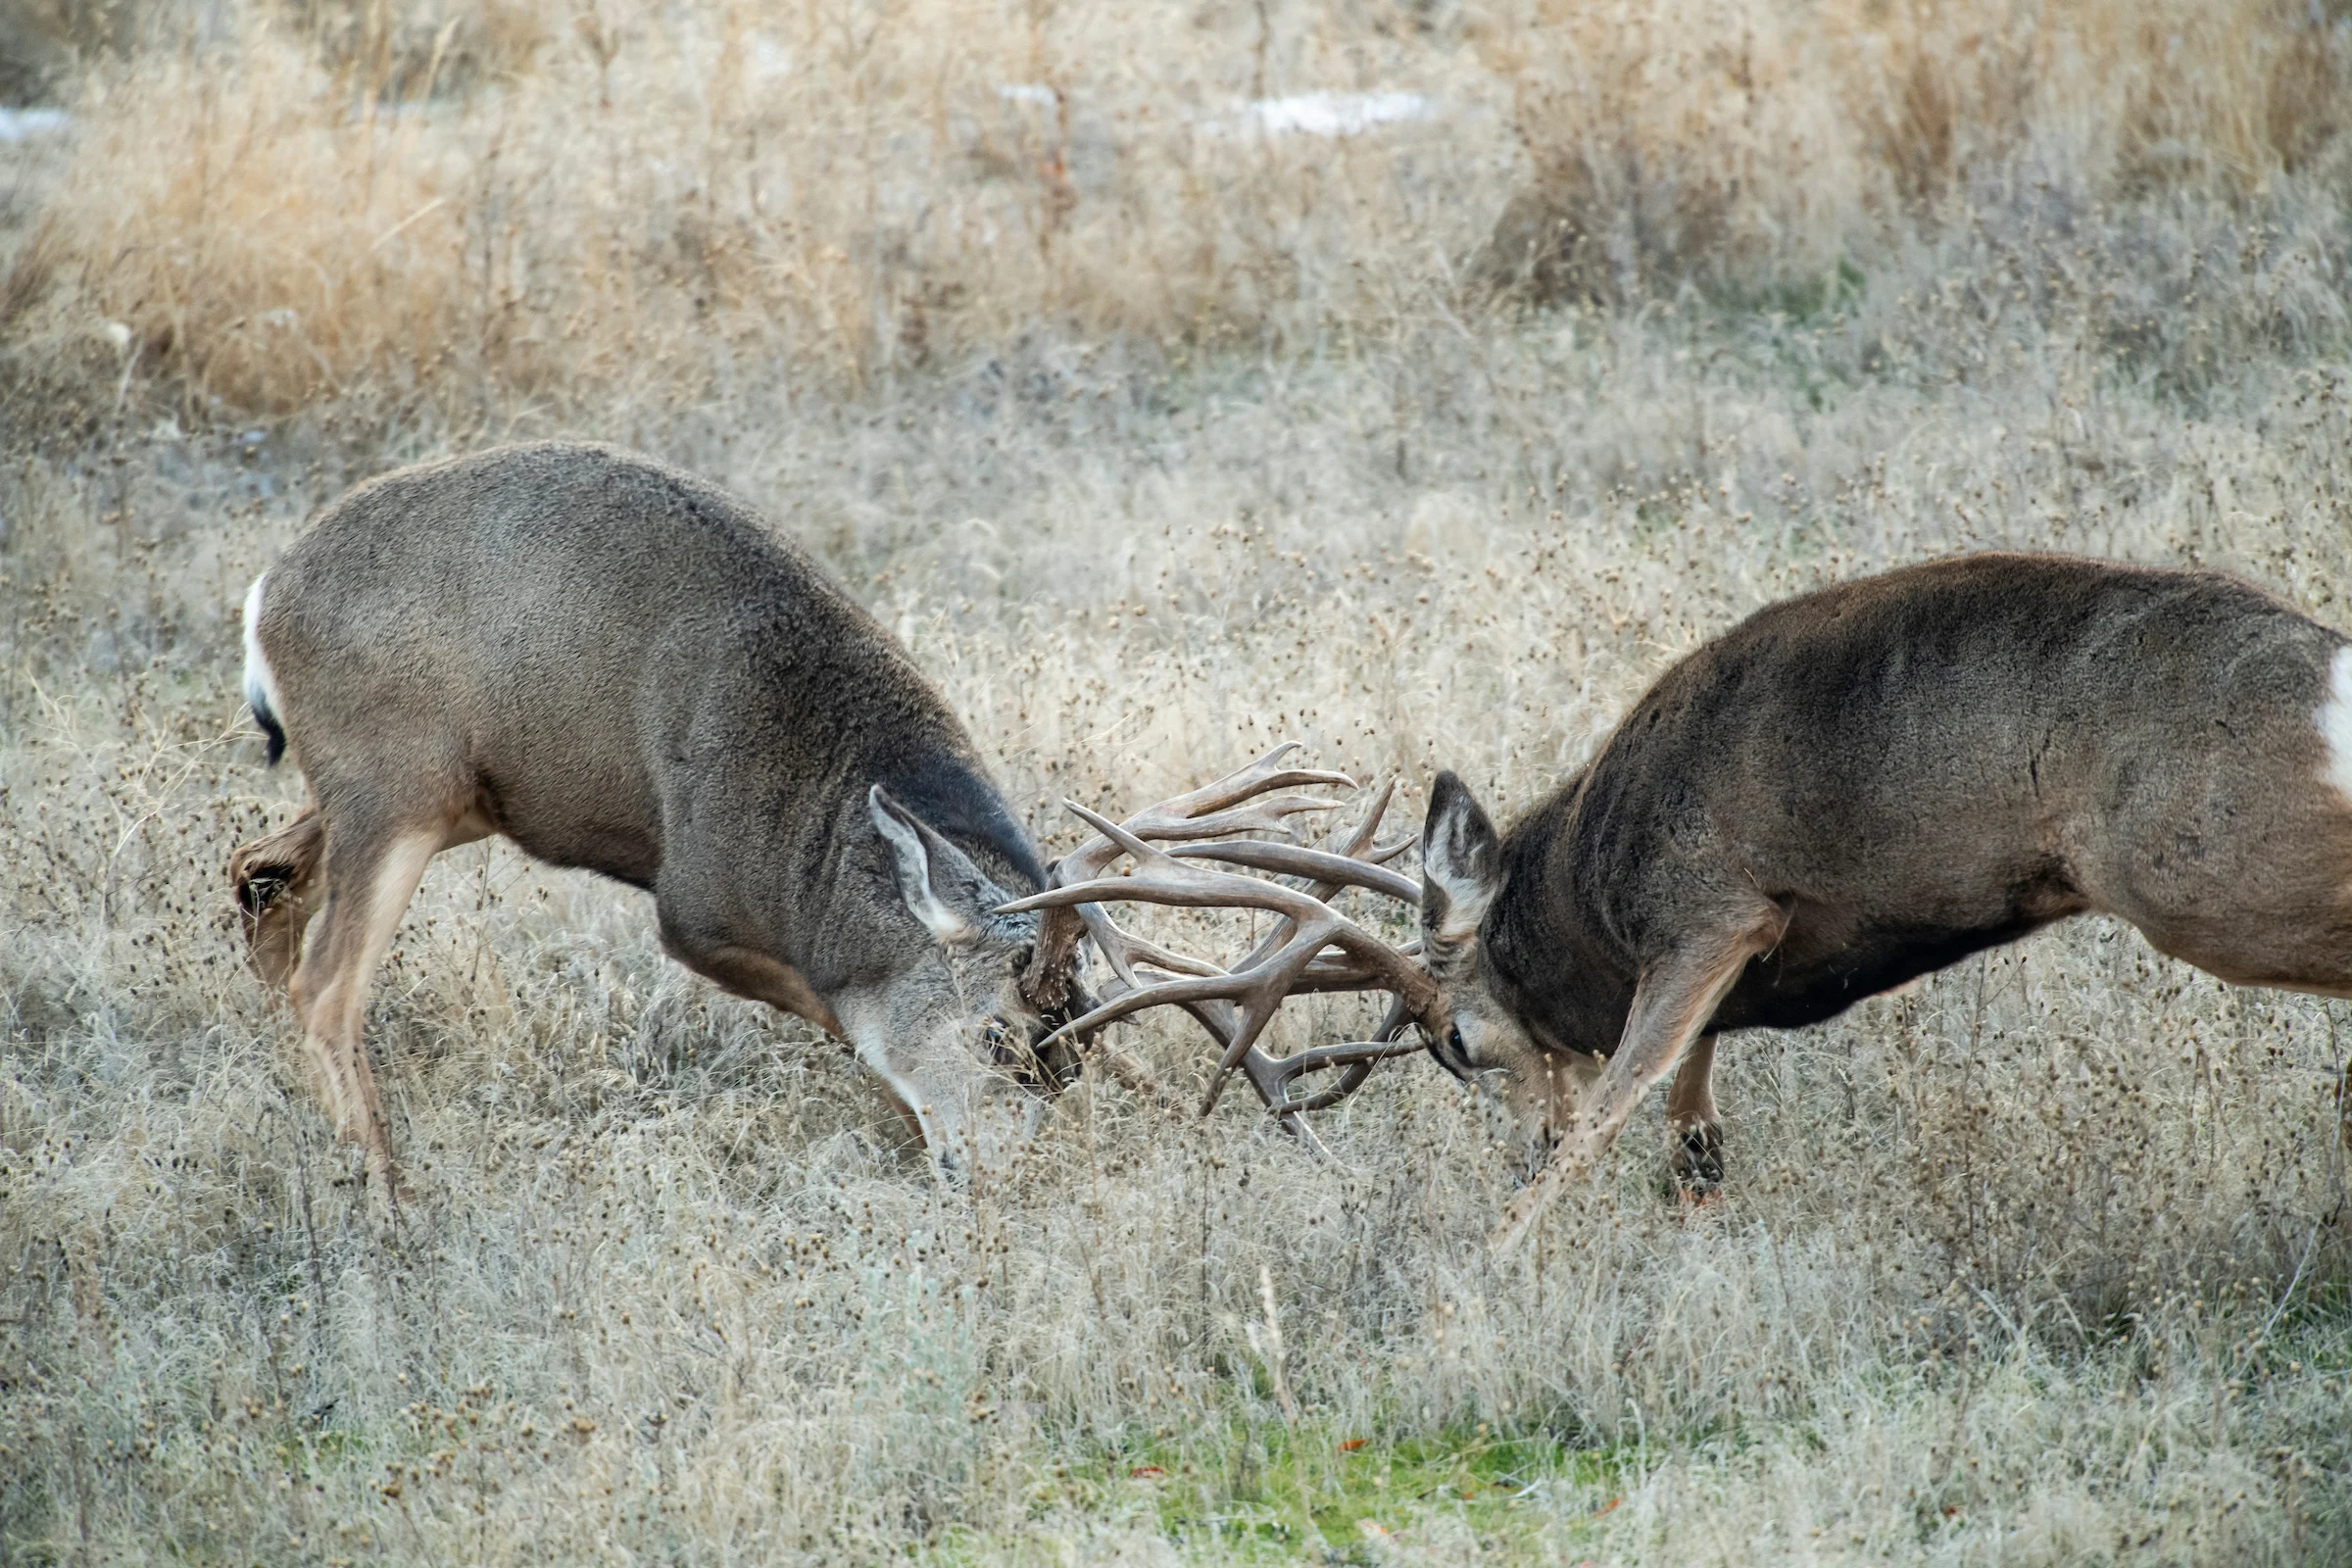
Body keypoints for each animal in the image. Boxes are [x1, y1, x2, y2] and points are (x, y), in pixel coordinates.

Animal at [229, 441, 1099, 1207]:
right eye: (998, 1036)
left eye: (1077, 1057)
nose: (995, 1179)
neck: (814, 831)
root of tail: (265, 595)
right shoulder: (696, 910)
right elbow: (845, 1023)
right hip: (394, 788)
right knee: (325, 984)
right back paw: (389, 1199)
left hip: (443, 800)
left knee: (258, 874)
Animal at [1024, 554, 2352, 1247]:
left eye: (1458, 1046)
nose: (1516, 1145)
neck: (1582, 891)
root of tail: (2329, 671)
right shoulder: (1725, 954)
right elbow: (1689, 1107)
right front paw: (1692, 1189)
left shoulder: (1712, 906)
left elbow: (1620, 1095)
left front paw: (1494, 1258)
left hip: (2203, 874)